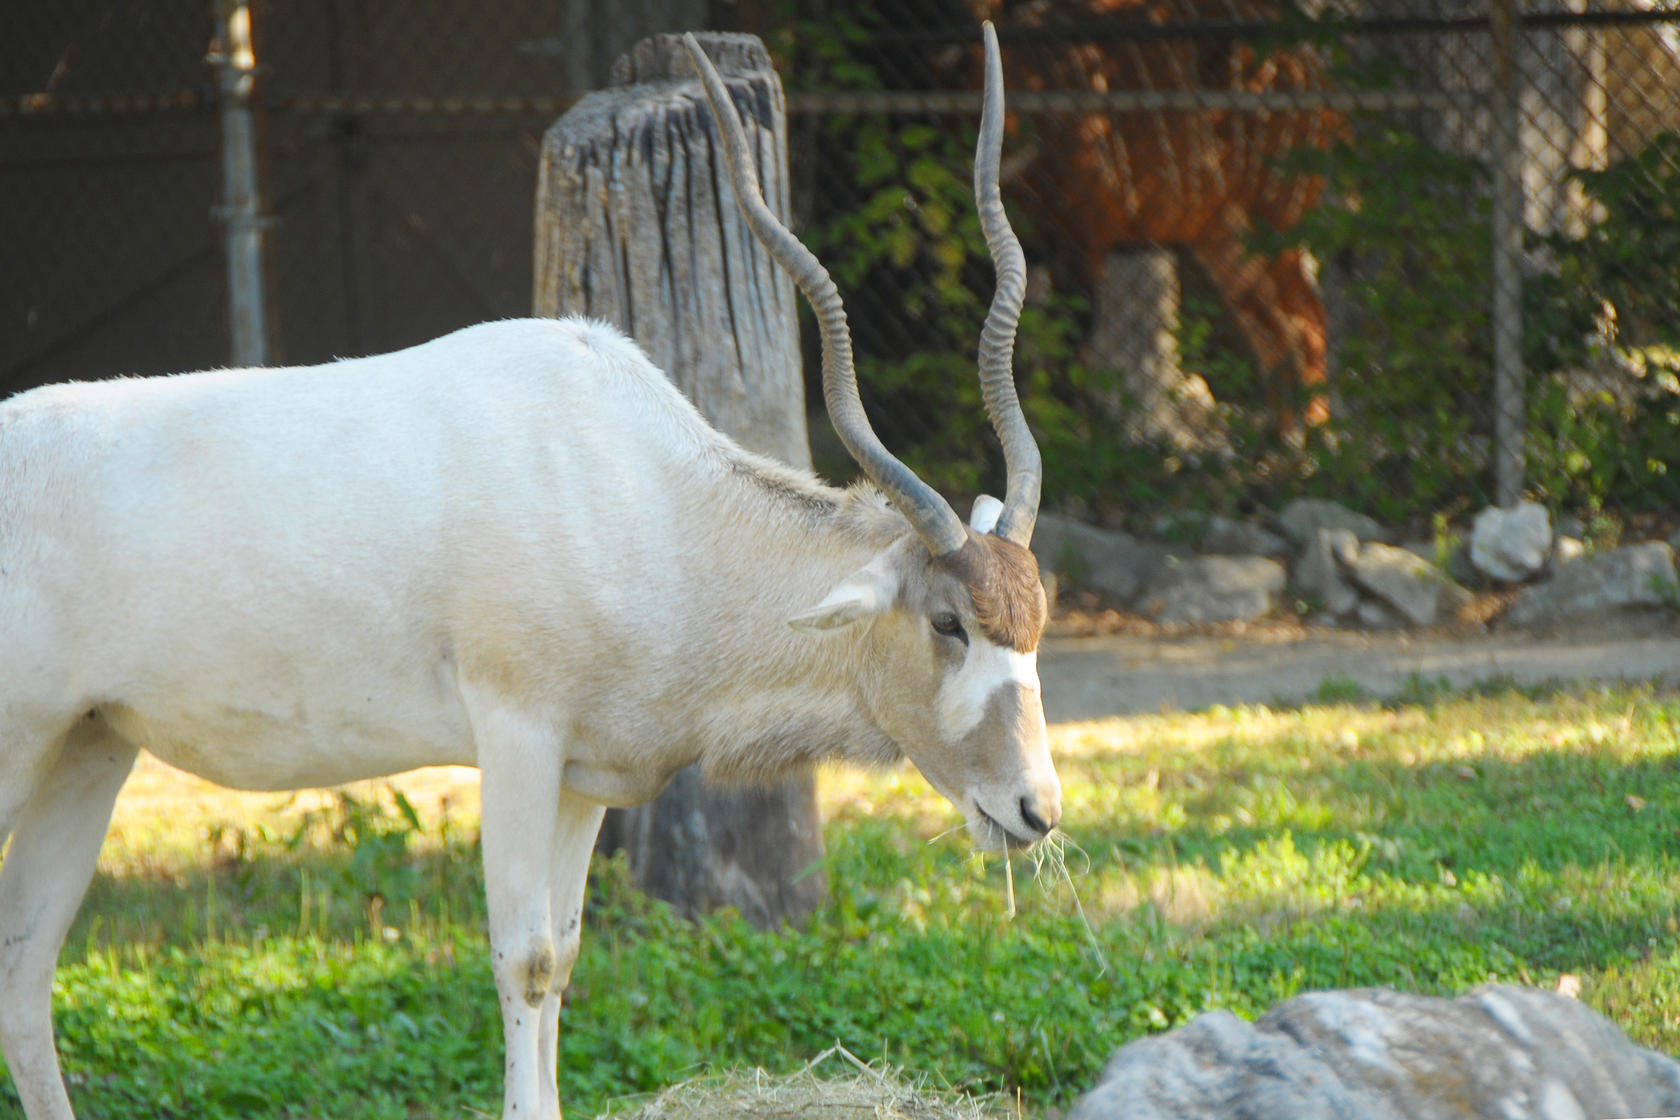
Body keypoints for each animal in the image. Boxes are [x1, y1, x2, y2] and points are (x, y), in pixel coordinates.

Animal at [0, 24, 1056, 1120]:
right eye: (947, 621)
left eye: (1039, 620)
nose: (1037, 810)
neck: (644, 495)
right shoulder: (515, 735)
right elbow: (528, 955)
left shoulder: (584, 773)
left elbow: (570, 951)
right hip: (21, 745)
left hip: (87, 749)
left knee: (25, 968)